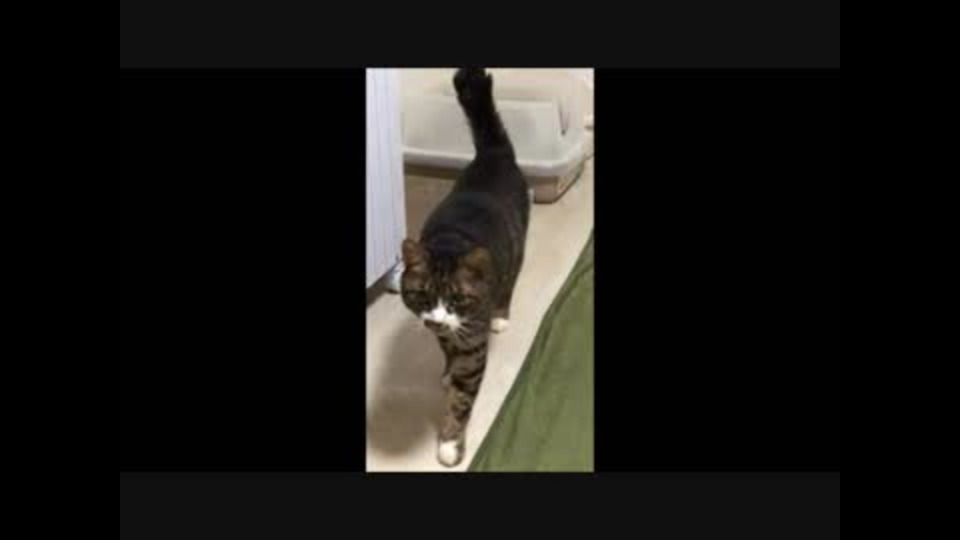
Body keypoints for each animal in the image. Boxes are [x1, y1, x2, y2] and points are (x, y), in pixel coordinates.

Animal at [400, 68, 530, 468]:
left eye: (458, 299)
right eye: (420, 296)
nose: (436, 320)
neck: (449, 244)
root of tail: (493, 153)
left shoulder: (472, 340)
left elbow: (461, 398)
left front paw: (449, 443)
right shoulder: (442, 332)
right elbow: (446, 353)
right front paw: (446, 371)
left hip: (518, 248)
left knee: (510, 282)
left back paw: (502, 315)